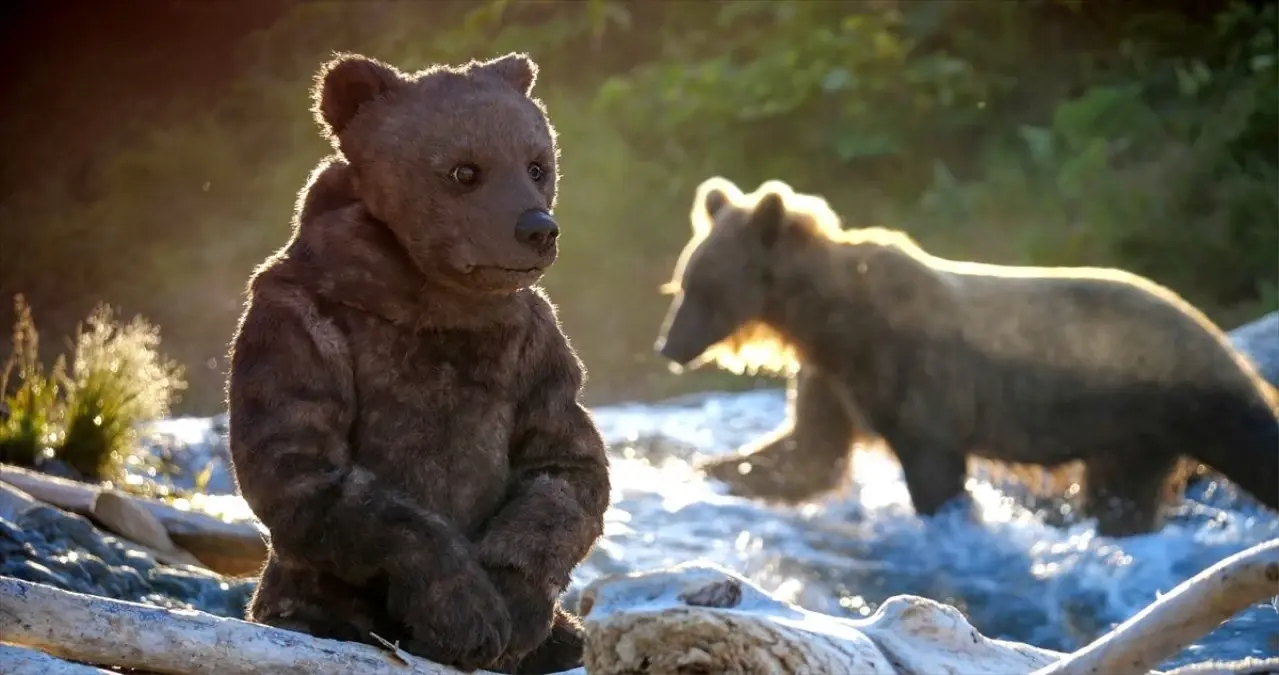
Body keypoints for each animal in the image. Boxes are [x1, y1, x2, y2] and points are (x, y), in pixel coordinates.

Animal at [654, 175, 1279, 536]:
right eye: (683, 282)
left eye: (703, 287)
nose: (669, 346)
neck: (824, 317)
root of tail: (1213, 328)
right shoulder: (831, 375)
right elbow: (807, 455)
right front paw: (697, 469)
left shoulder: (912, 375)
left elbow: (932, 466)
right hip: (1132, 437)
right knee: (1120, 497)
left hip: (1185, 394)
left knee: (1252, 443)